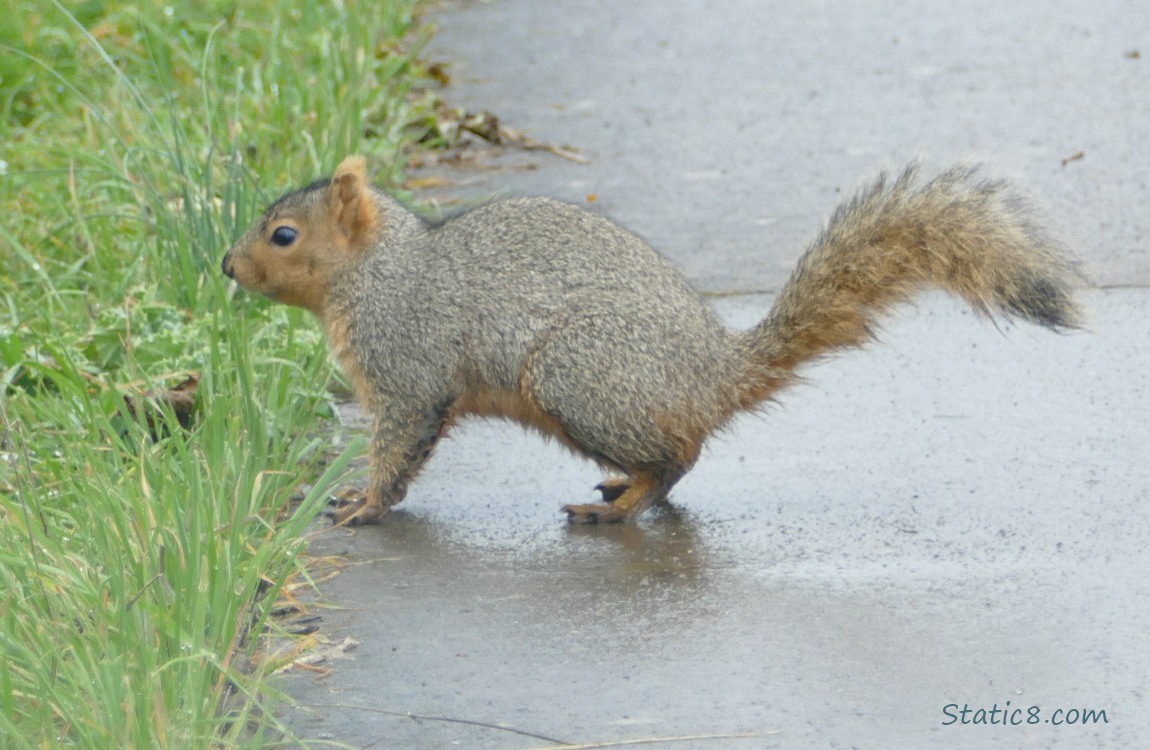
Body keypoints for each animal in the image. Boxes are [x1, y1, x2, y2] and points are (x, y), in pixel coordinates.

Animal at [221, 155, 1083, 525]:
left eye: (285, 235)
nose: (227, 264)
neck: (373, 272)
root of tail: (714, 372)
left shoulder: (406, 363)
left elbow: (400, 442)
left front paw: (363, 504)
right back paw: (619, 490)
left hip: (577, 378)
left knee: (679, 458)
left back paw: (617, 506)